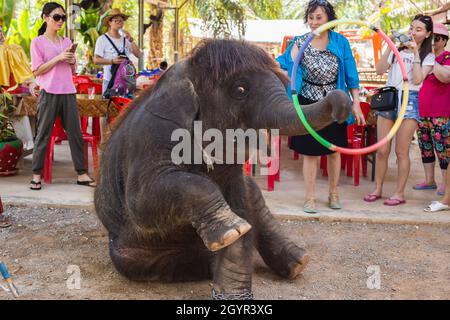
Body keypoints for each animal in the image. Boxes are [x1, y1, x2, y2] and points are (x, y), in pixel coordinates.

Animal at [95, 38, 352, 298]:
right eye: (240, 90)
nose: (340, 100)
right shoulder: (152, 132)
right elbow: (140, 202)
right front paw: (232, 231)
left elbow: (241, 204)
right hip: (129, 254)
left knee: (256, 199)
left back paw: (298, 262)